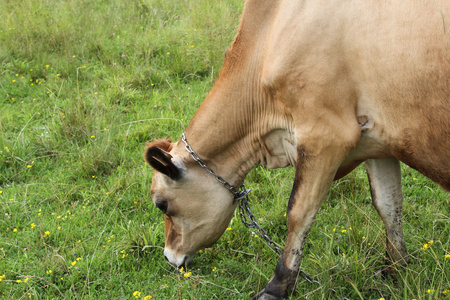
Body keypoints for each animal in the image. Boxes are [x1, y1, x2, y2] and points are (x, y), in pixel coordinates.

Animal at [145, 1, 450, 298]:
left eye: (162, 204)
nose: (170, 257)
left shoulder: (326, 134)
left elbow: (298, 212)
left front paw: (277, 285)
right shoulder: (376, 141)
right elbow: (388, 203)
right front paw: (396, 268)